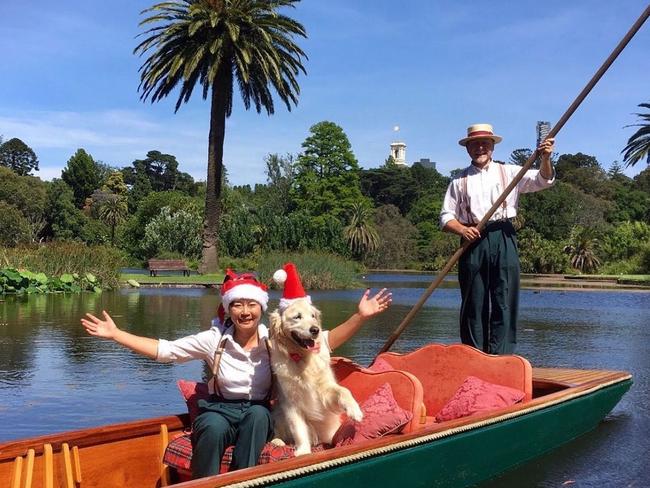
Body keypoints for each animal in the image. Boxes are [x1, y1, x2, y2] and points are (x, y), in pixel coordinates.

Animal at [266, 300, 362, 456]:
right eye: (297, 316)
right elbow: (298, 429)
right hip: (279, 415)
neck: (303, 358)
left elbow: (344, 390)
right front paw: (303, 451)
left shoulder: (326, 390)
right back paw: (277, 441)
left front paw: (355, 410)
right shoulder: (291, 403)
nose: (315, 330)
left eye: (313, 316)